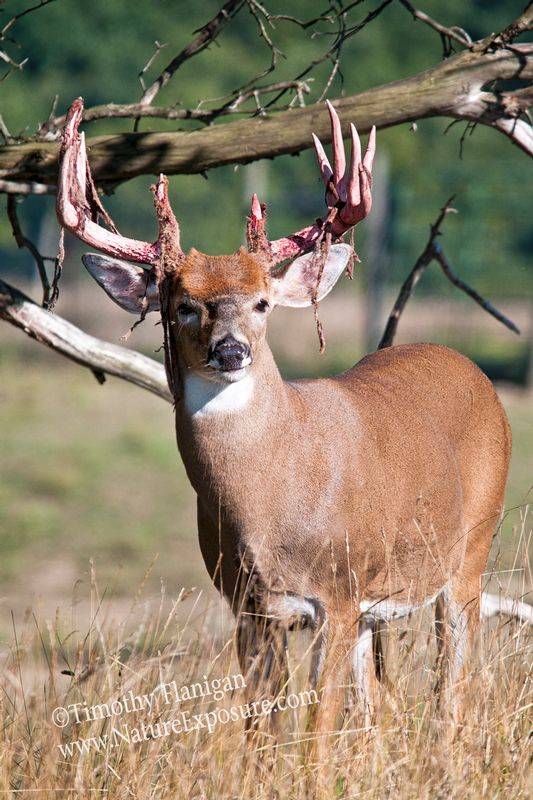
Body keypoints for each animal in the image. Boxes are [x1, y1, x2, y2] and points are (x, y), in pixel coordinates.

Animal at [56, 97, 512, 749]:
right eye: (182, 306)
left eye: (262, 303)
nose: (230, 350)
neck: (271, 505)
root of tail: (468, 365)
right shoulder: (249, 605)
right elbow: (262, 730)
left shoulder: (337, 596)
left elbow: (315, 735)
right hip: (379, 601)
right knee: (379, 707)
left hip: (471, 545)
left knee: (455, 688)